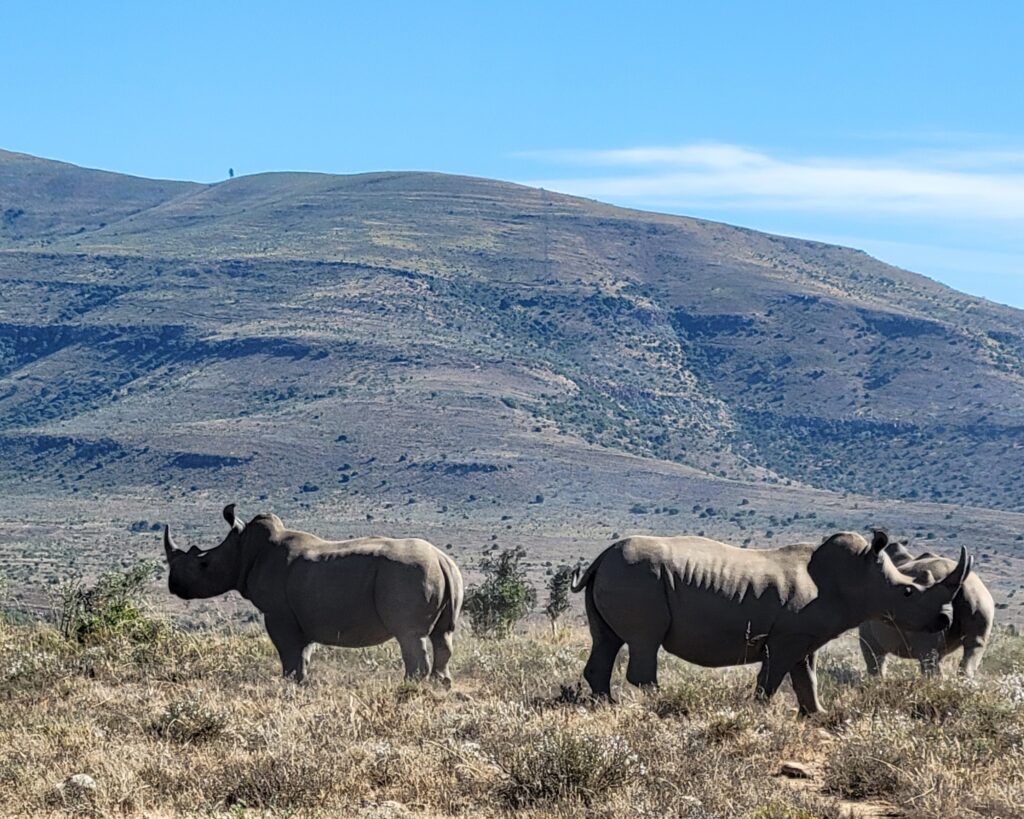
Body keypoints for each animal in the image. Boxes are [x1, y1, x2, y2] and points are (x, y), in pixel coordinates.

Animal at [163, 504, 464, 685]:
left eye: (203, 564)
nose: (173, 585)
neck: (244, 548)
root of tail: (441, 560)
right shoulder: (303, 616)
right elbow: (303, 655)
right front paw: (302, 683)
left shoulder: (278, 614)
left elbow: (288, 653)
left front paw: (288, 683)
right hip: (447, 575)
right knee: (442, 636)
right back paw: (439, 686)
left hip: (407, 576)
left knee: (410, 635)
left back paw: (409, 687)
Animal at [572, 530, 972, 715]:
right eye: (908, 592)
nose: (943, 620)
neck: (855, 576)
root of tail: (600, 557)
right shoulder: (785, 639)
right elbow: (772, 679)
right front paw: (759, 711)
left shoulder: (804, 638)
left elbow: (806, 678)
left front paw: (818, 715)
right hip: (639, 577)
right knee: (644, 642)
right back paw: (665, 702)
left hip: (620, 573)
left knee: (606, 640)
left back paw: (605, 704)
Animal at [859, 539, 994, 677]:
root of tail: (964, 584)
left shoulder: (868, 634)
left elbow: (874, 660)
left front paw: (877, 680)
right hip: (980, 597)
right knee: (974, 645)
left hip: (929, 611)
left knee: (928, 656)